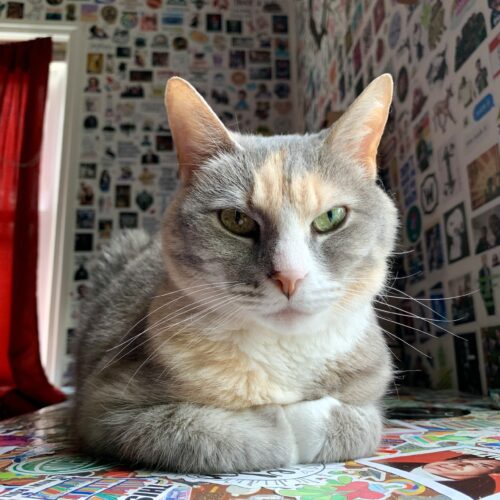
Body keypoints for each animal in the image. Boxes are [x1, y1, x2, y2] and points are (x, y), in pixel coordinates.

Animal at [74, 74, 398, 472]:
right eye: (236, 220)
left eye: (331, 217)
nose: (290, 276)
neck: (283, 351)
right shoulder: (106, 406)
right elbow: (225, 433)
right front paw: (279, 422)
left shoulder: (369, 395)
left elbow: (360, 422)